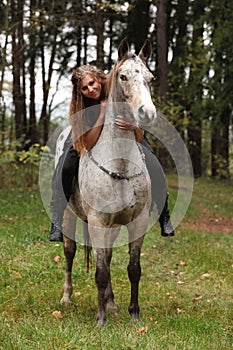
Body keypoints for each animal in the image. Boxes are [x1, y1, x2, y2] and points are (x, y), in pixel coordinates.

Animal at [61, 38, 157, 326]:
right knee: (69, 252)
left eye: (150, 77)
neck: (120, 165)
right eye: (123, 76)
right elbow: (100, 272)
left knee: (110, 255)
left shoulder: (138, 223)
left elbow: (133, 269)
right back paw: (67, 297)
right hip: (69, 216)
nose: (147, 113)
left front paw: (134, 314)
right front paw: (100, 319)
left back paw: (112, 302)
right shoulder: (97, 222)